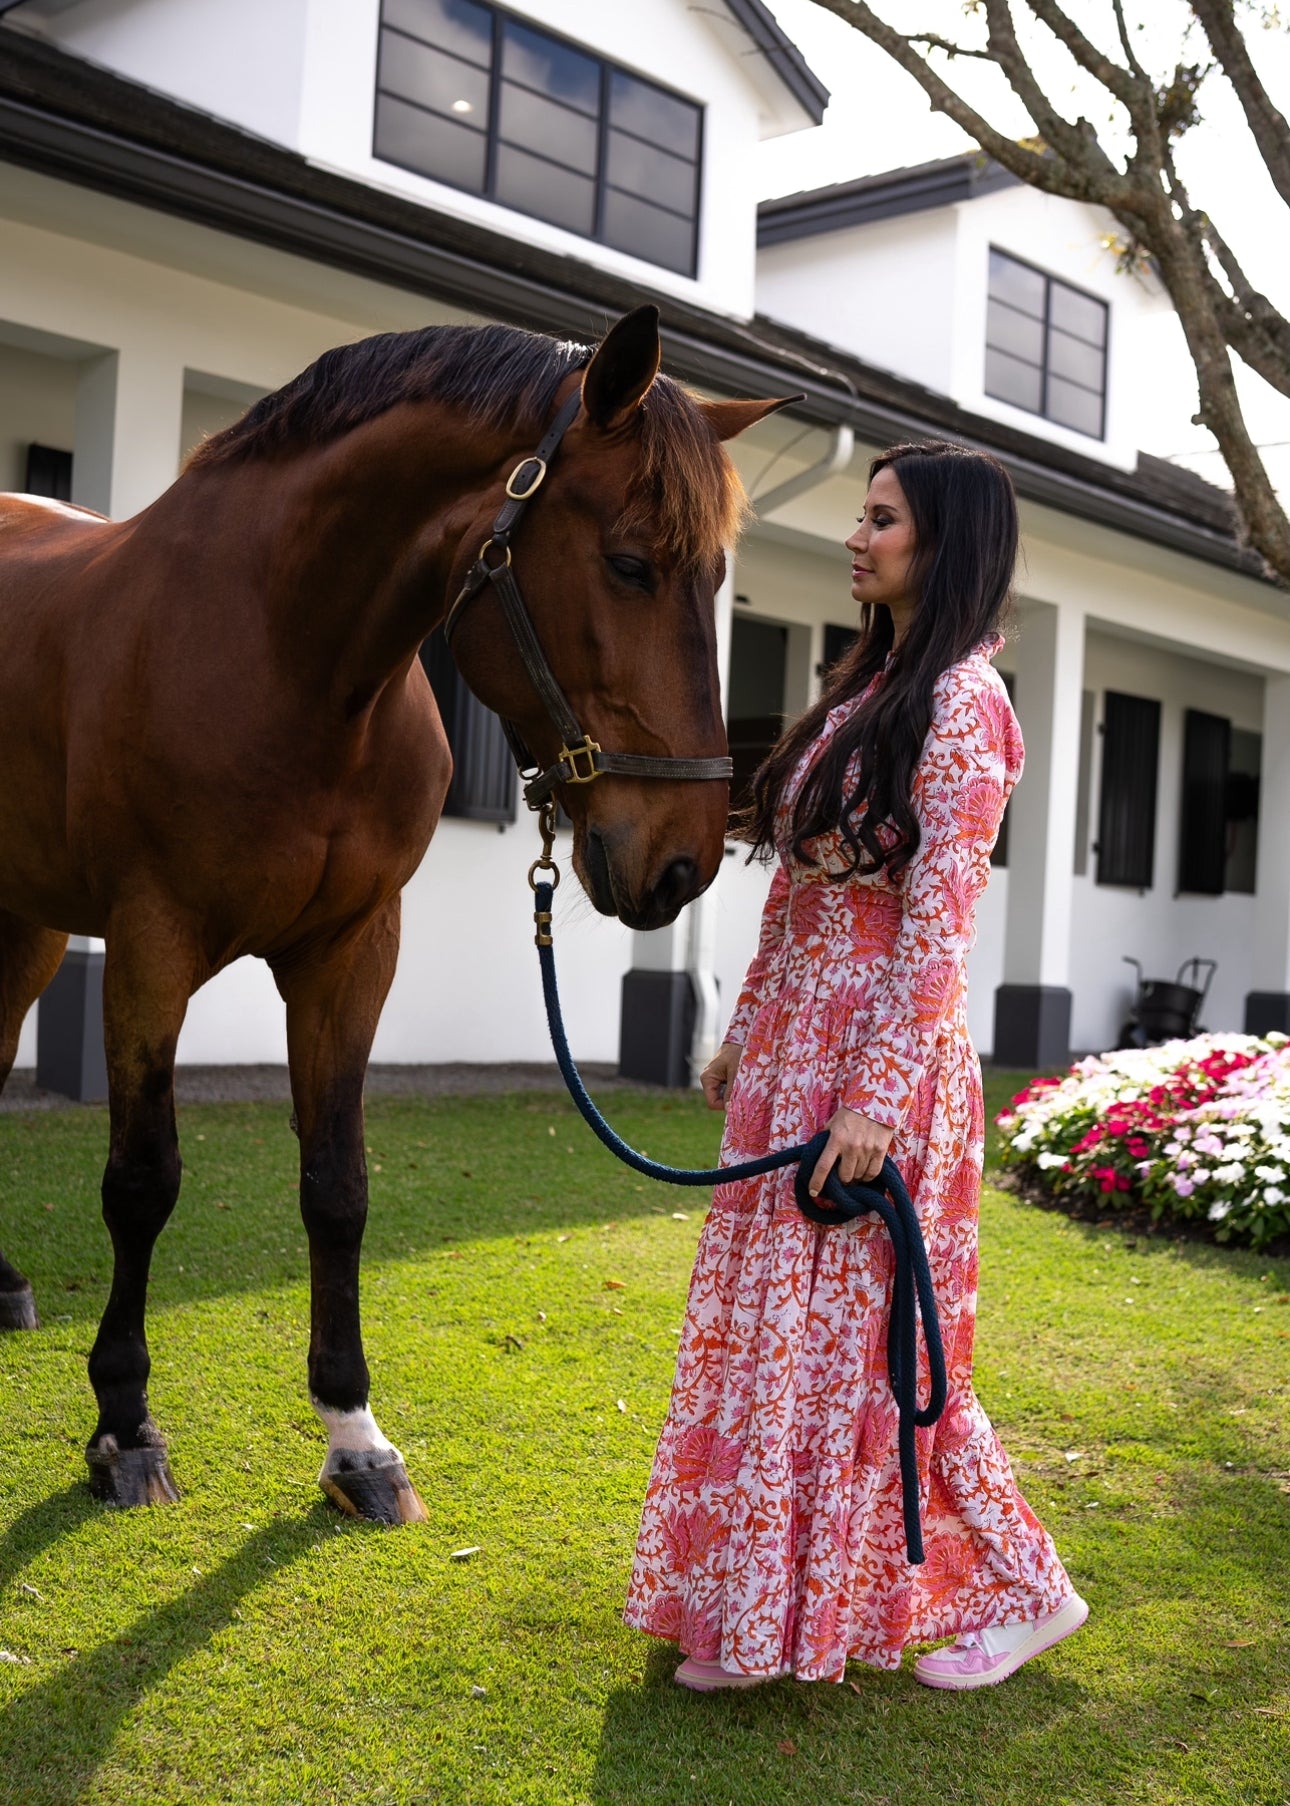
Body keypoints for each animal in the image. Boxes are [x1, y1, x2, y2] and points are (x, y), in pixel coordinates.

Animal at [0, 307, 784, 1524]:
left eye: (714, 583)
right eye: (630, 564)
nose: (684, 860)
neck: (287, 660)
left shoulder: (353, 951)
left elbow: (338, 1188)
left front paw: (354, 1437)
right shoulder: (148, 944)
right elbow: (141, 1182)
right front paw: (124, 1423)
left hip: (29, 919)